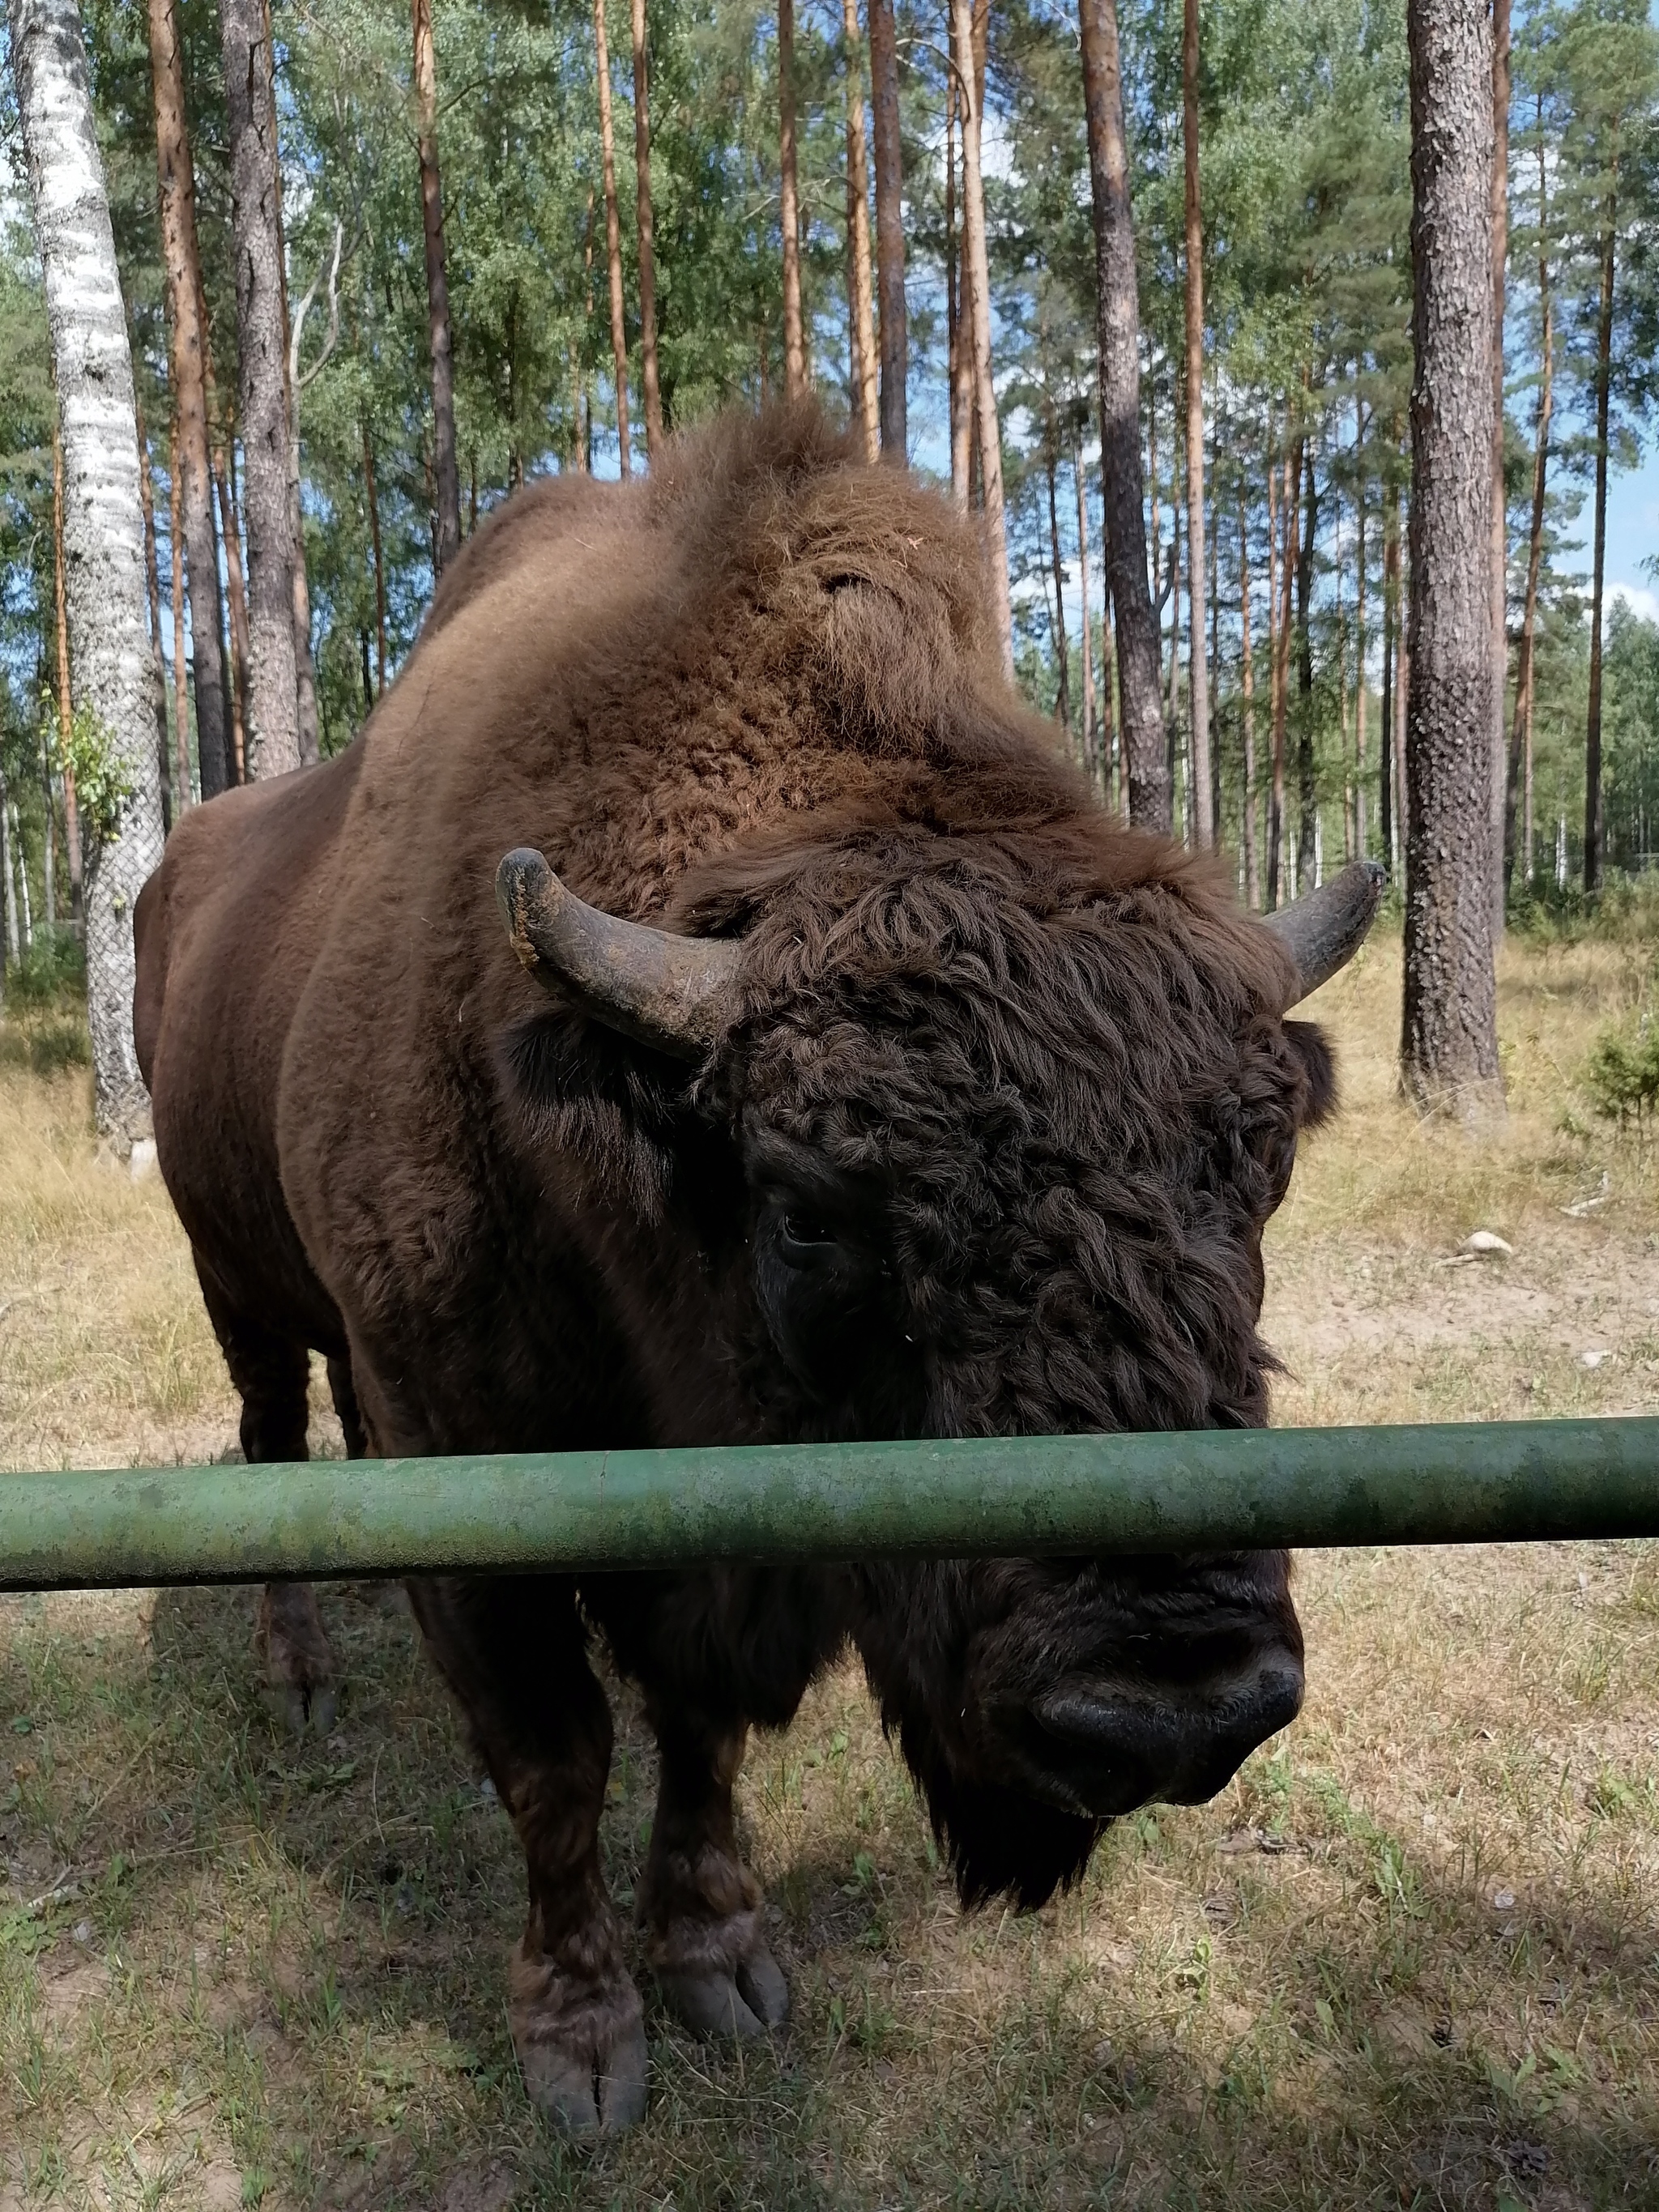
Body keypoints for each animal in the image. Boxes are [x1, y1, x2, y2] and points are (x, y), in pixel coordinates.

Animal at [133, 407, 1380, 2132]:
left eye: (1261, 1174)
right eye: (805, 1210)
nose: (1170, 1706)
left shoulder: (725, 1537)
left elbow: (694, 1725)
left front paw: (722, 1961)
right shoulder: (464, 1463)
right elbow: (554, 1754)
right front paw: (583, 2043)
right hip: (229, 1274)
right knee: (267, 1437)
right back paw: (300, 1676)